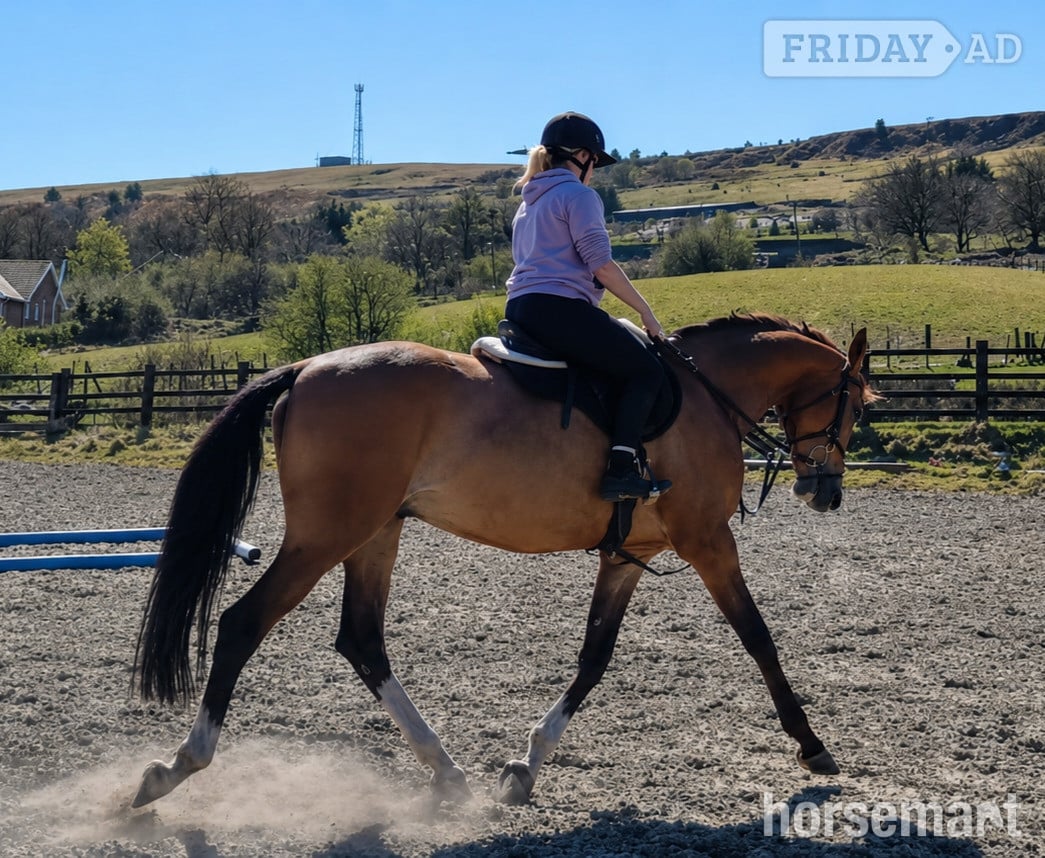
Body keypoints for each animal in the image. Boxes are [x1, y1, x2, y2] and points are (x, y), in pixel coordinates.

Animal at [131, 312, 874, 808]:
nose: (826, 492)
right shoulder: (708, 541)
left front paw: (525, 766)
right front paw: (811, 744)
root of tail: (307, 369)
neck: (704, 397)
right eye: (856, 408)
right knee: (242, 624)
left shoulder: (630, 552)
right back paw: (177, 766)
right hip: (328, 535)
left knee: (362, 639)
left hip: (375, 532)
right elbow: (758, 637)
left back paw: (445, 771)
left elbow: (594, 657)